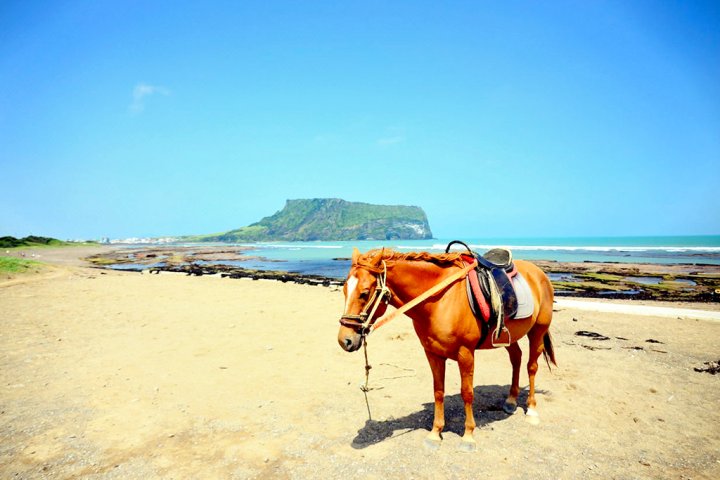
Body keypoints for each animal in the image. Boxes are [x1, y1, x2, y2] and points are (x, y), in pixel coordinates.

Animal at [338, 248, 556, 450]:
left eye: (364, 292)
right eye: (344, 290)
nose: (344, 340)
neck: (440, 300)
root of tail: (539, 273)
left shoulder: (466, 353)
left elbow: (467, 393)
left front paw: (468, 436)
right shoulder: (433, 353)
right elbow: (438, 391)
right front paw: (436, 433)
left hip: (537, 331)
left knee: (531, 367)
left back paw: (531, 409)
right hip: (507, 337)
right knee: (516, 359)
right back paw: (511, 401)